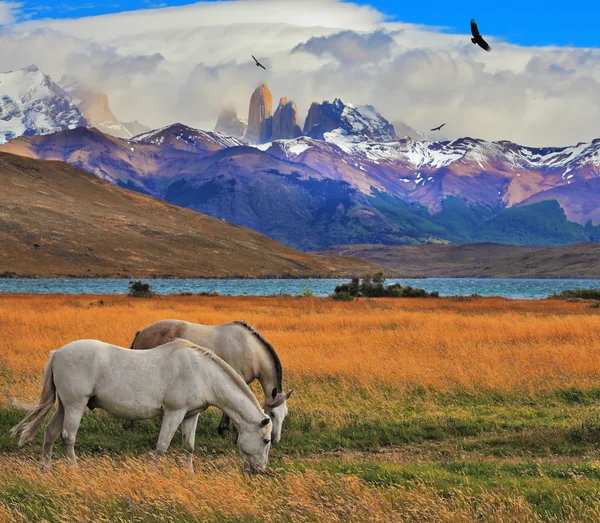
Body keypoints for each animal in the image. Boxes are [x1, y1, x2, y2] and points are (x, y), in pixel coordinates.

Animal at [10, 340, 274, 474]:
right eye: (266, 440)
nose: (259, 470)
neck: (203, 373)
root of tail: (57, 353)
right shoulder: (174, 413)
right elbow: (162, 446)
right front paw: (153, 473)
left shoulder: (190, 416)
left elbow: (189, 446)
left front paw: (188, 474)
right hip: (75, 405)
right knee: (68, 436)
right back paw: (74, 469)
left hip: (64, 406)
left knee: (50, 433)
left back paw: (45, 469)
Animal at [131, 320, 292, 442]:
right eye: (272, 414)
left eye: (285, 415)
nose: (275, 439)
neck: (251, 350)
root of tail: (141, 332)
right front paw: (226, 431)